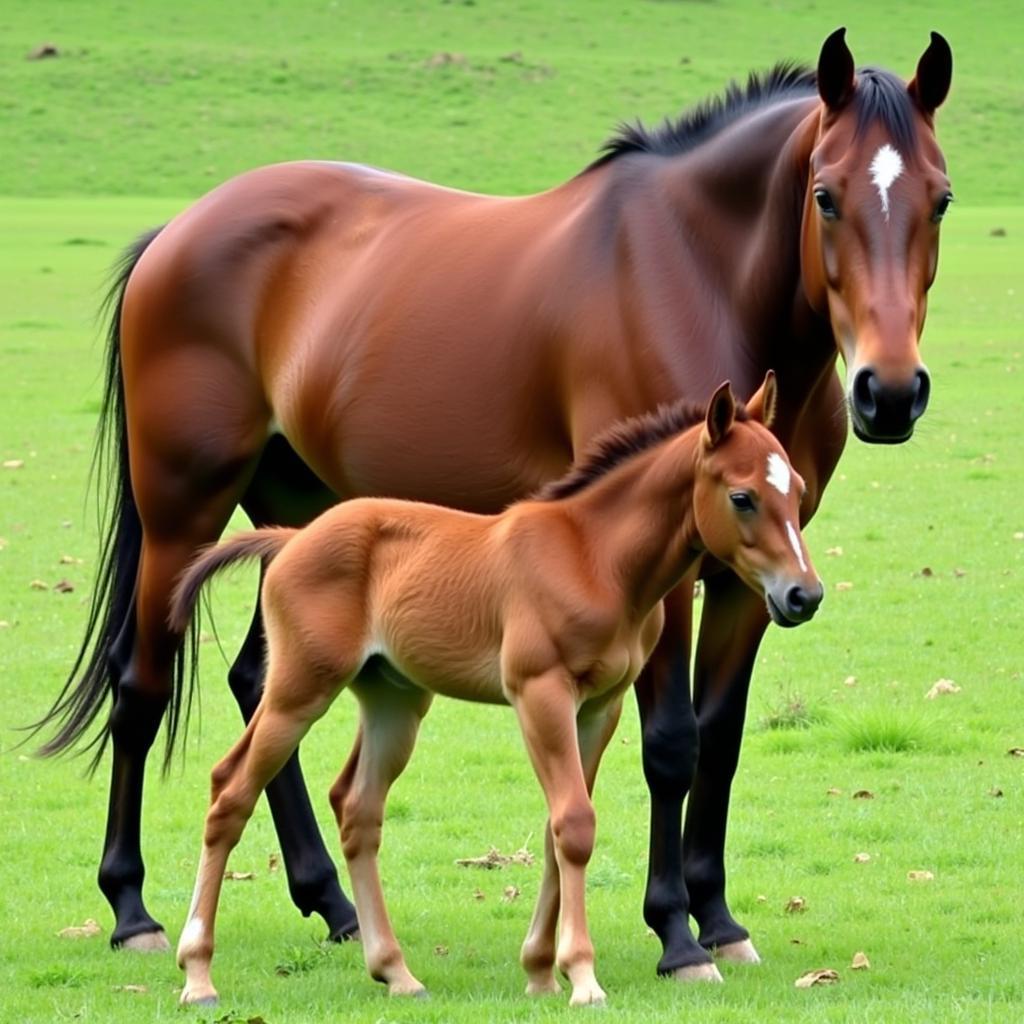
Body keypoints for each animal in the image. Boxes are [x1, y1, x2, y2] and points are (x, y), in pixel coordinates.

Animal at [172, 378, 819, 1007]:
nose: (803, 595)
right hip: (299, 689)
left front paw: (539, 972)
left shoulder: (599, 707)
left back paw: (396, 973)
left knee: (357, 809)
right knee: (230, 790)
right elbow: (573, 823)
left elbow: (560, 827)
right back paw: (198, 975)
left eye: (798, 488)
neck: (593, 556)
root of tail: (291, 539)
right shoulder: (540, 693)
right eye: (742, 497)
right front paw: (582, 978)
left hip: (393, 701)